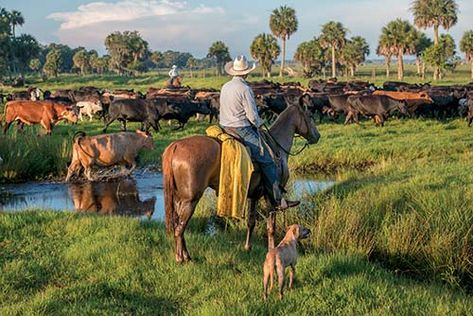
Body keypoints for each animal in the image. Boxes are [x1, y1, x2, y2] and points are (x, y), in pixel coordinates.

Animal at [162, 98, 320, 262]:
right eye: (310, 116)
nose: (317, 136)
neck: (277, 146)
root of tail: (175, 146)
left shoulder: (253, 195)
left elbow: (251, 222)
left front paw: (247, 247)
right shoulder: (270, 196)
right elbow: (271, 227)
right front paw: (272, 250)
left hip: (179, 199)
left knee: (178, 224)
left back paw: (187, 256)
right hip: (190, 200)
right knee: (179, 228)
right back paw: (180, 258)